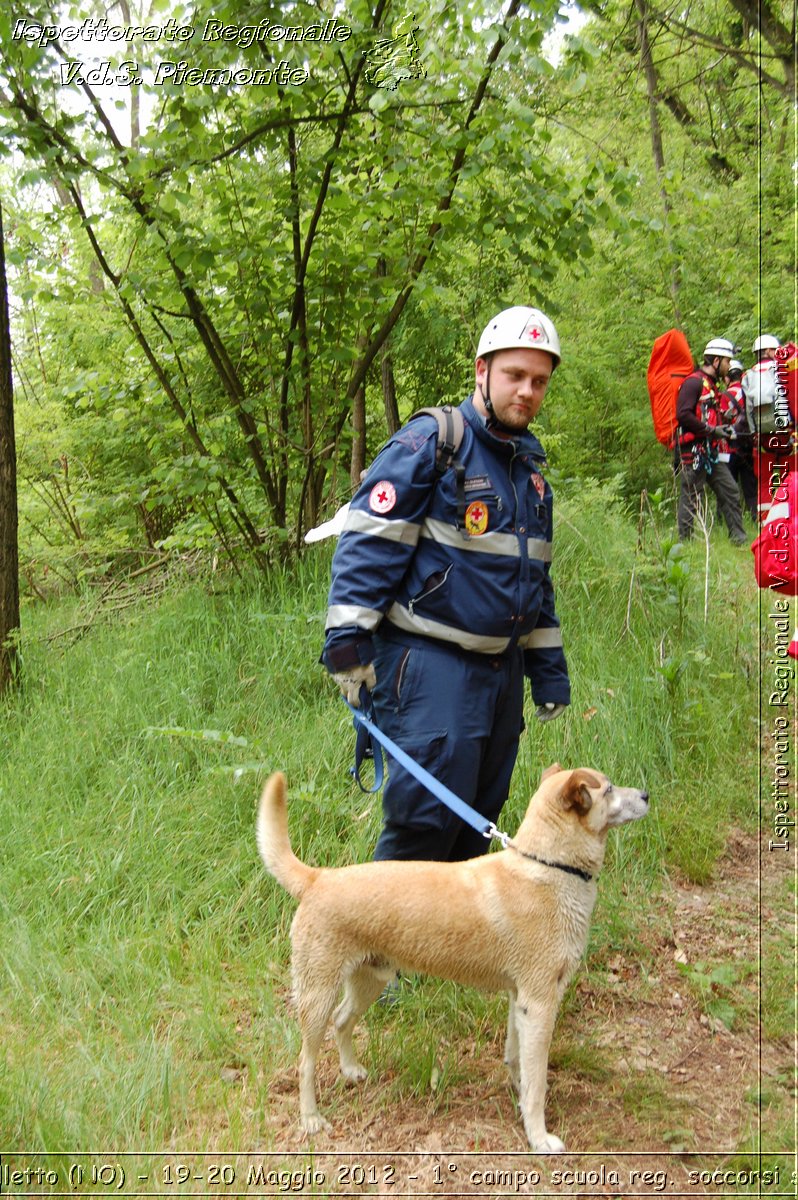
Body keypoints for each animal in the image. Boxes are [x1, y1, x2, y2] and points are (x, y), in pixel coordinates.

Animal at [256, 763, 648, 1147]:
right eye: (608, 789)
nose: (645, 795)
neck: (547, 868)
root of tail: (318, 879)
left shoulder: (519, 1000)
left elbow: (517, 1059)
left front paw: (518, 1097)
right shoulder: (539, 1003)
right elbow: (537, 1082)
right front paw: (538, 1137)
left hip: (370, 981)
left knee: (342, 1021)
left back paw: (351, 1070)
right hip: (318, 995)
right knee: (305, 1061)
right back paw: (311, 1119)